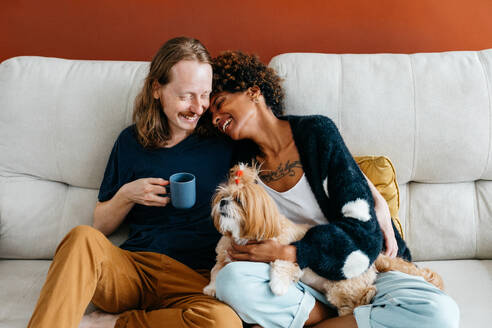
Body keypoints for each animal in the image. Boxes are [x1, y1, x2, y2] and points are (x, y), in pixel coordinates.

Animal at [202, 164, 444, 316]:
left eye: (239, 200)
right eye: (222, 195)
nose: (223, 202)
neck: (242, 236)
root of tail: (373, 260)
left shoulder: (288, 252)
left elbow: (281, 264)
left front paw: (277, 286)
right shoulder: (222, 256)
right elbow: (216, 270)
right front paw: (211, 288)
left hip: (341, 288)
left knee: (359, 300)